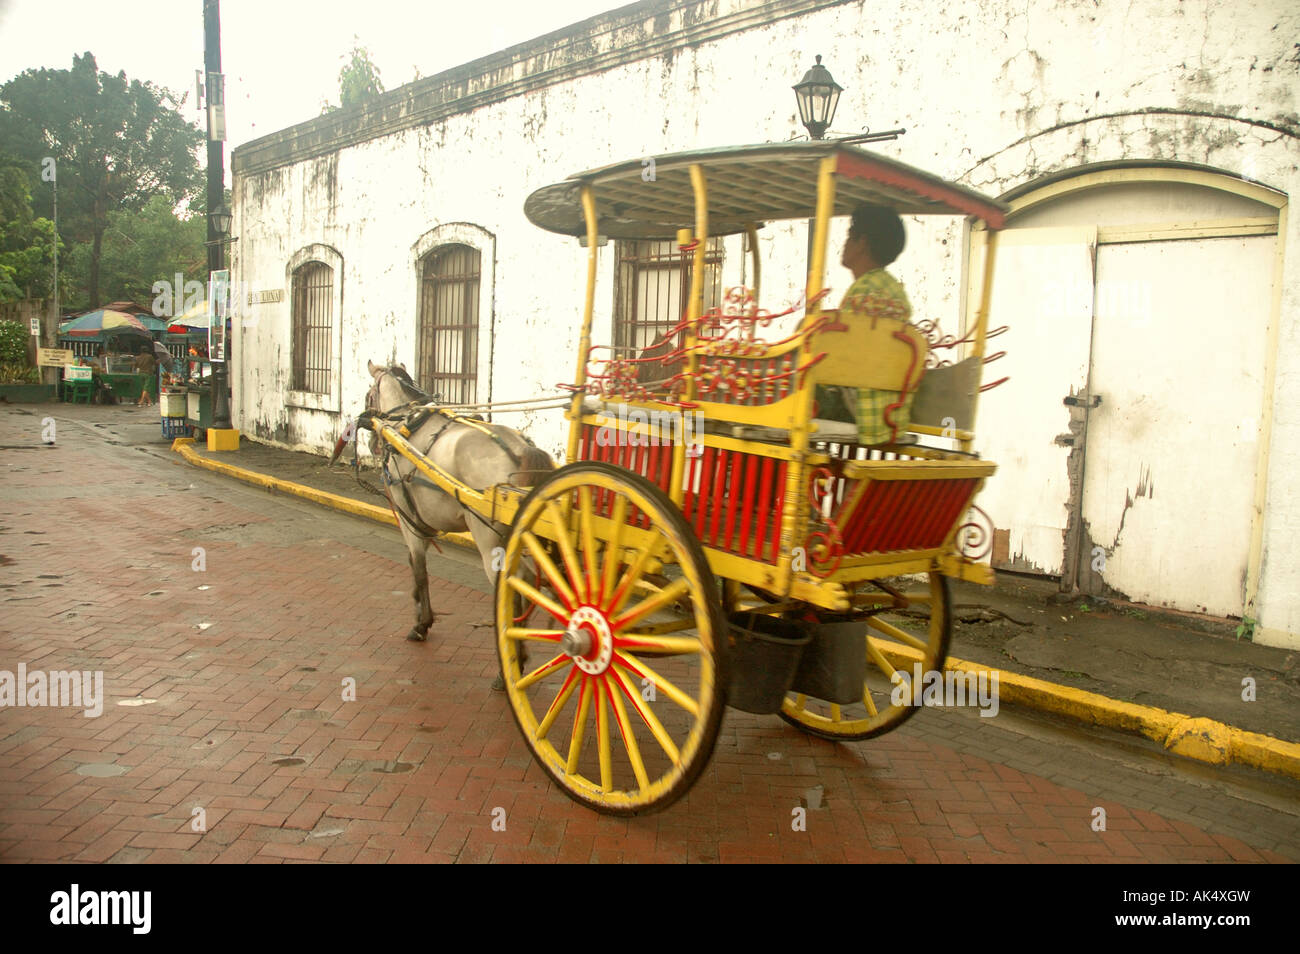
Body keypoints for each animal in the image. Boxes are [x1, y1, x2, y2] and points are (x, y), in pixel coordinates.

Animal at [348, 361, 551, 647]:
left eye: (369, 394)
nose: (372, 442)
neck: (408, 424)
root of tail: (520, 448)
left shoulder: (408, 519)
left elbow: (418, 568)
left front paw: (421, 624)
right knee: (529, 581)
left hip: (487, 535)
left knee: (515, 579)